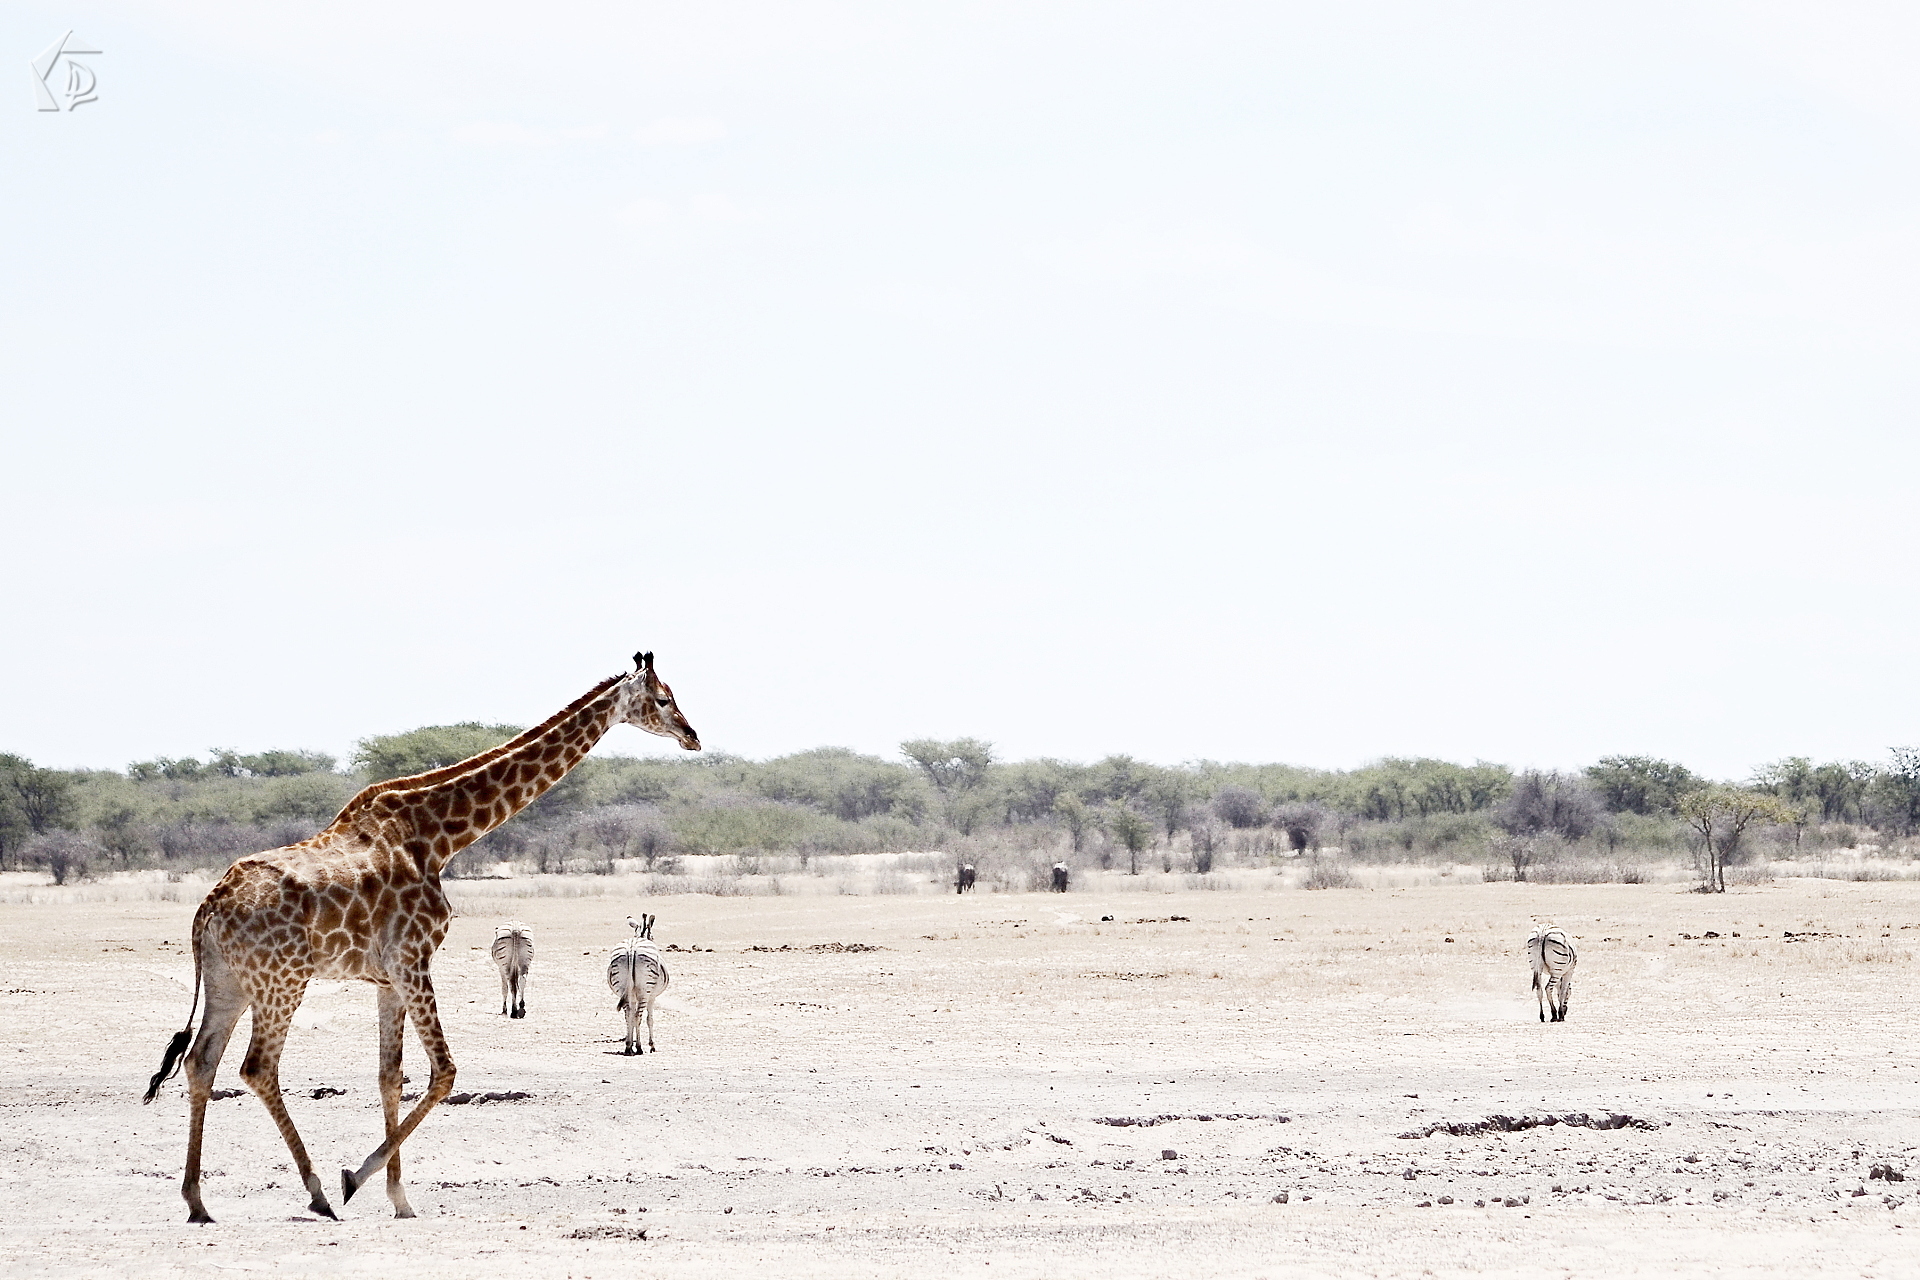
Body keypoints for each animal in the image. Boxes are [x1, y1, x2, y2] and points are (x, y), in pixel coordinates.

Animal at [142, 651, 699, 1224]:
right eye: (663, 699)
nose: (692, 736)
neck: (438, 838)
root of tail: (209, 907)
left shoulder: (388, 978)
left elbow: (391, 1077)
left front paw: (400, 1198)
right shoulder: (413, 958)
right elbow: (445, 1071)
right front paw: (355, 1178)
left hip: (229, 982)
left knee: (200, 1063)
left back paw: (197, 1201)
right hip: (283, 980)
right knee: (257, 1068)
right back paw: (318, 1193)